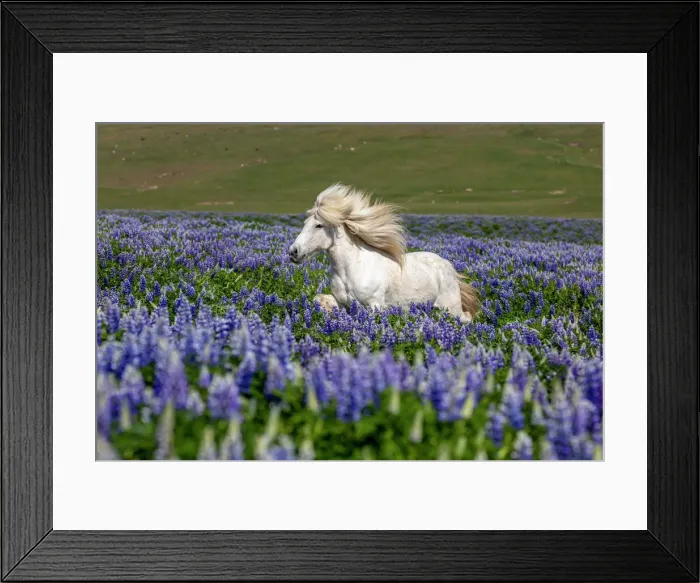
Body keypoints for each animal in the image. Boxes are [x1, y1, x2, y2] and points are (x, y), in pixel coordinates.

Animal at [288, 183, 480, 323]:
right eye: (304, 223)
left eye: (318, 225)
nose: (293, 252)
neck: (350, 270)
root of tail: (448, 266)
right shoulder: (344, 305)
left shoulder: (374, 306)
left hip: (450, 309)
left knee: (467, 320)